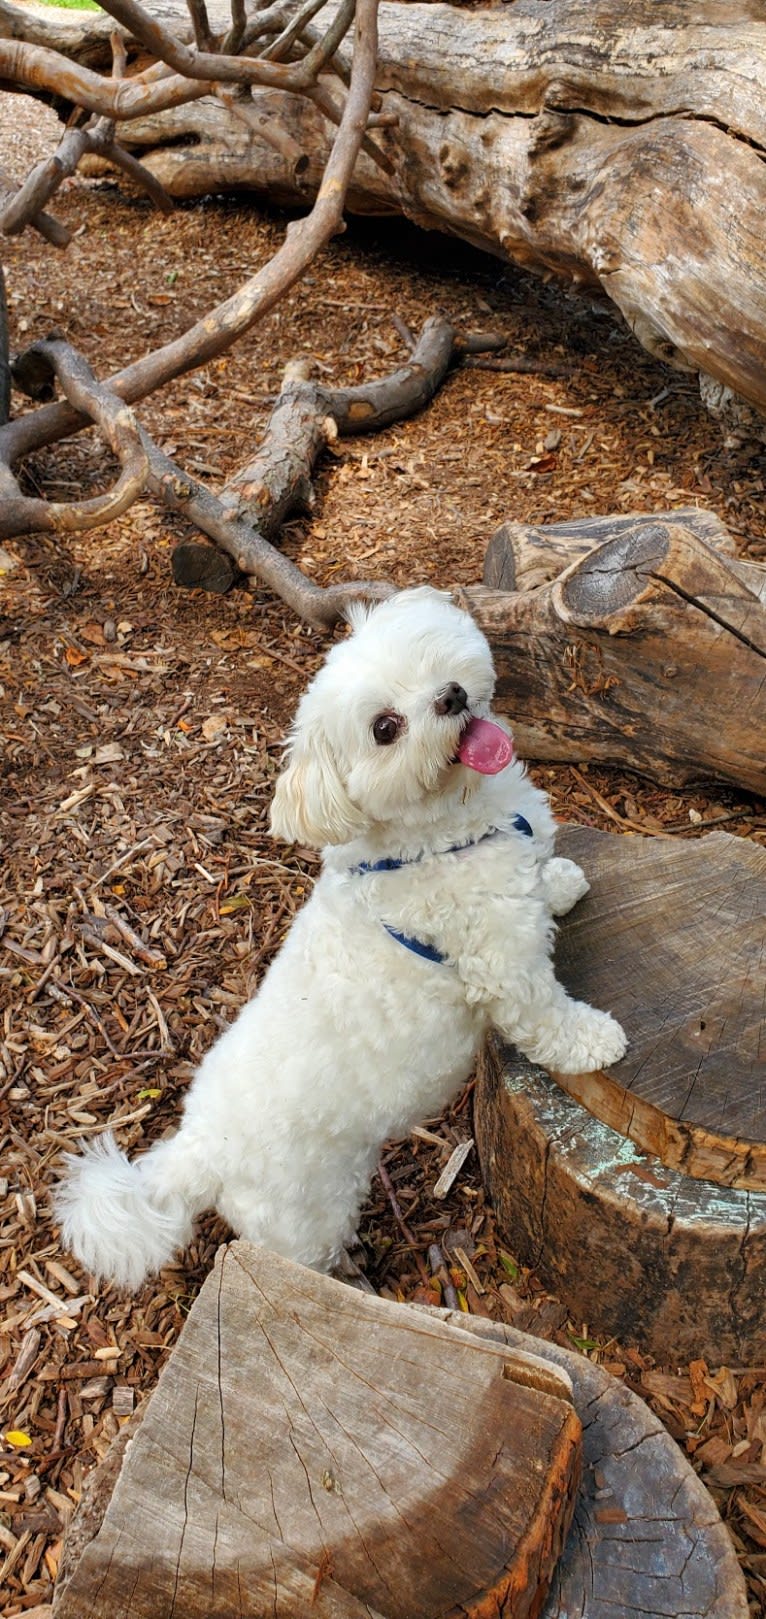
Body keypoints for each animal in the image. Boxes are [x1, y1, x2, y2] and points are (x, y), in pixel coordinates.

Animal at [55, 586, 628, 1288]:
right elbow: (547, 1017)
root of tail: (194, 1154)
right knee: (305, 1257)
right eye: (385, 728)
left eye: (423, 658)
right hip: (307, 1216)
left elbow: (542, 879)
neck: (433, 835)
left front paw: (562, 882)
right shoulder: (504, 963)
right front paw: (595, 1041)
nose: (450, 698)